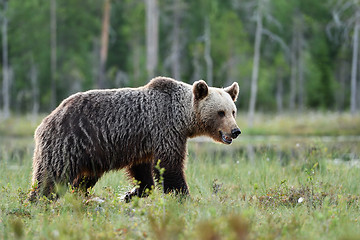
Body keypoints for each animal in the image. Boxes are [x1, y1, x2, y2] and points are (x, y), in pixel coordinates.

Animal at [28, 76, 242, 201]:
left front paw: (131, 193)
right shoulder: (165, 130)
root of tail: (46, 120)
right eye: (220, 112)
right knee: (50, 177)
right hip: (67, 143)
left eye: (233, 111)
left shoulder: (145, 143)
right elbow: (170, 166)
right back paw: (38, 201)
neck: (181, 118)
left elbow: (143, 172)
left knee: (83, 178)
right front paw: (182, 196)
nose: (235, 131)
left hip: (91, 154)